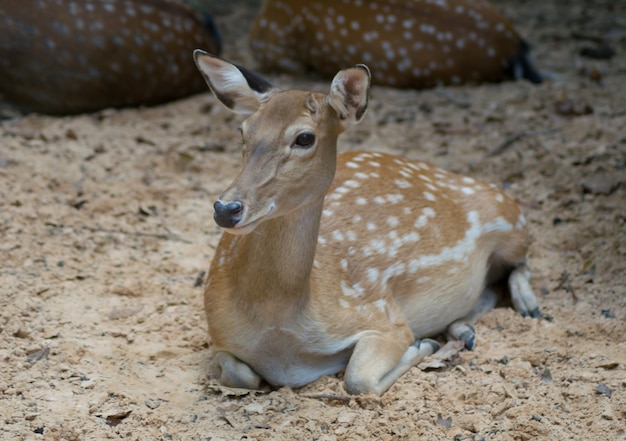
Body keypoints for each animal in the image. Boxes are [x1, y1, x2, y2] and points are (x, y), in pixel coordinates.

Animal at [193, 50, 540, 396]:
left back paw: (527, 306)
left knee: (522, 257)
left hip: (507, 217)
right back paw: (463, 329)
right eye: (242, 130)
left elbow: (358, 379)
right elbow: (239, 374)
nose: (226, 208)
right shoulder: (220, 337)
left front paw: (422, 345)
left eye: (304, 137)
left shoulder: (382, 315)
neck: (281, 331)